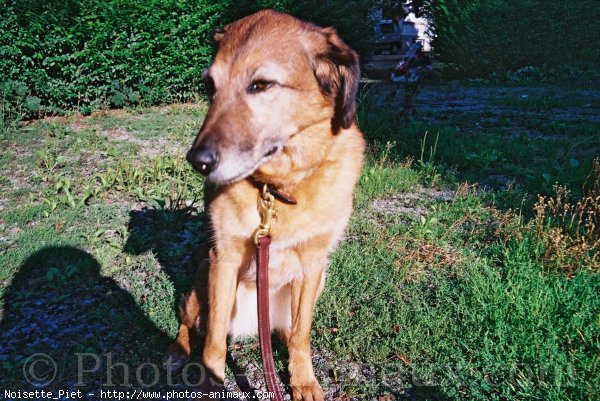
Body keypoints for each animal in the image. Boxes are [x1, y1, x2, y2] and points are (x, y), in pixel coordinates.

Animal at [166, 10, 368, 400]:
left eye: (261, 85)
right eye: (210, 87)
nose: (197, 161)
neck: (277, 188)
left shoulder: (313, 265)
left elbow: (302, 336)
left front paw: (302, 380)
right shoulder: (224, 259)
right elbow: (213, 342)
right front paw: (211, 382)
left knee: (288, 332)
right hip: (202, 278)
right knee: (190, 323)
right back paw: (177, 350)